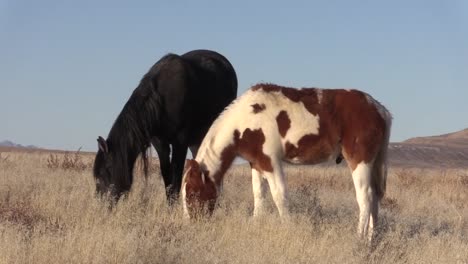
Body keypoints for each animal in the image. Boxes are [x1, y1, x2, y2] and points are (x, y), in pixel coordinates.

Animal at [92, 50, 238, 205]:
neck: (160, 101)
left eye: (106, 170)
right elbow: (167, 176)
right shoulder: (160, 143)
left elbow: (177, 175)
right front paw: (170, 204)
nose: (101, 203)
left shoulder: (180, 142)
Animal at [182, 83, 392, 240]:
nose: (191, 224)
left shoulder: (270, 162)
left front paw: (288, 228)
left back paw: (359, 238)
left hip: (359, 160)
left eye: (192, 194)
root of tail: (380, 110)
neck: (245, 119)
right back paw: (372, 238)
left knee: (365, 197)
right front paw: (256, 224)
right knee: (374, 197)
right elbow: (259, 195)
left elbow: (279, 196)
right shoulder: (256, 163)